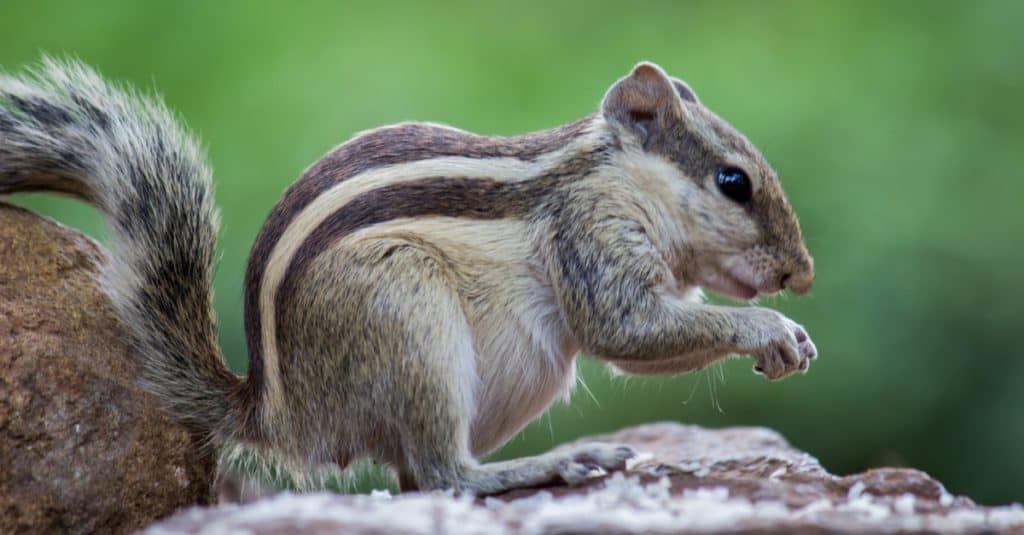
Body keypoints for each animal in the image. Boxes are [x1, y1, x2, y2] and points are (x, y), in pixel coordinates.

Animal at [0, 57, 815, 491]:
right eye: (734, 182)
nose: (801, 275)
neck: (611, 177)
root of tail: (281, 415)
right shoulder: (590, 237)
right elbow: (625, 330)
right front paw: (771, 329)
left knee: (417, 479)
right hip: (407, 313)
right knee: (444, 473)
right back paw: (551, 463)